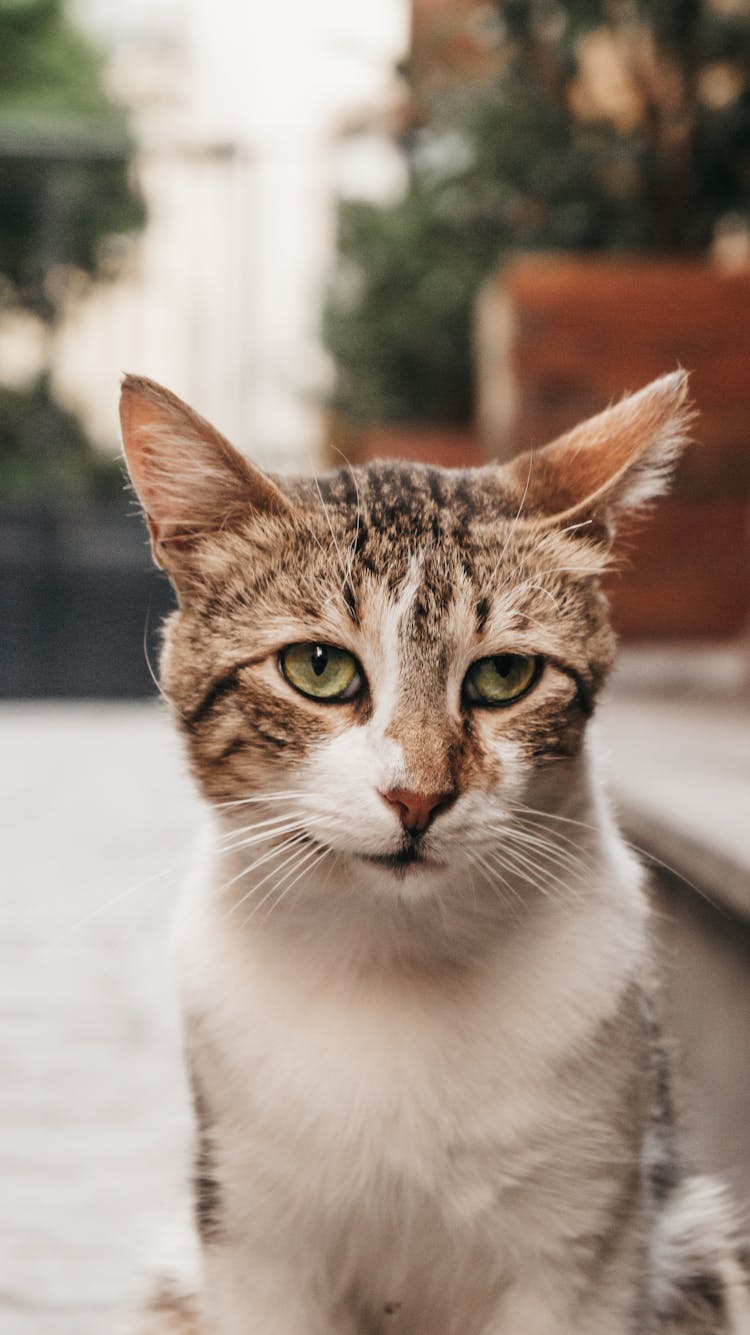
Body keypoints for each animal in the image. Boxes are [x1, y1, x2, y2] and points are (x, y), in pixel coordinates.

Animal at [119, 371, 741, 1335]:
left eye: (504, 676)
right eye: (318, 667)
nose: (418, 795)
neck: (398, 958)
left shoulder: (582, 1243)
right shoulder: (257, 1238)